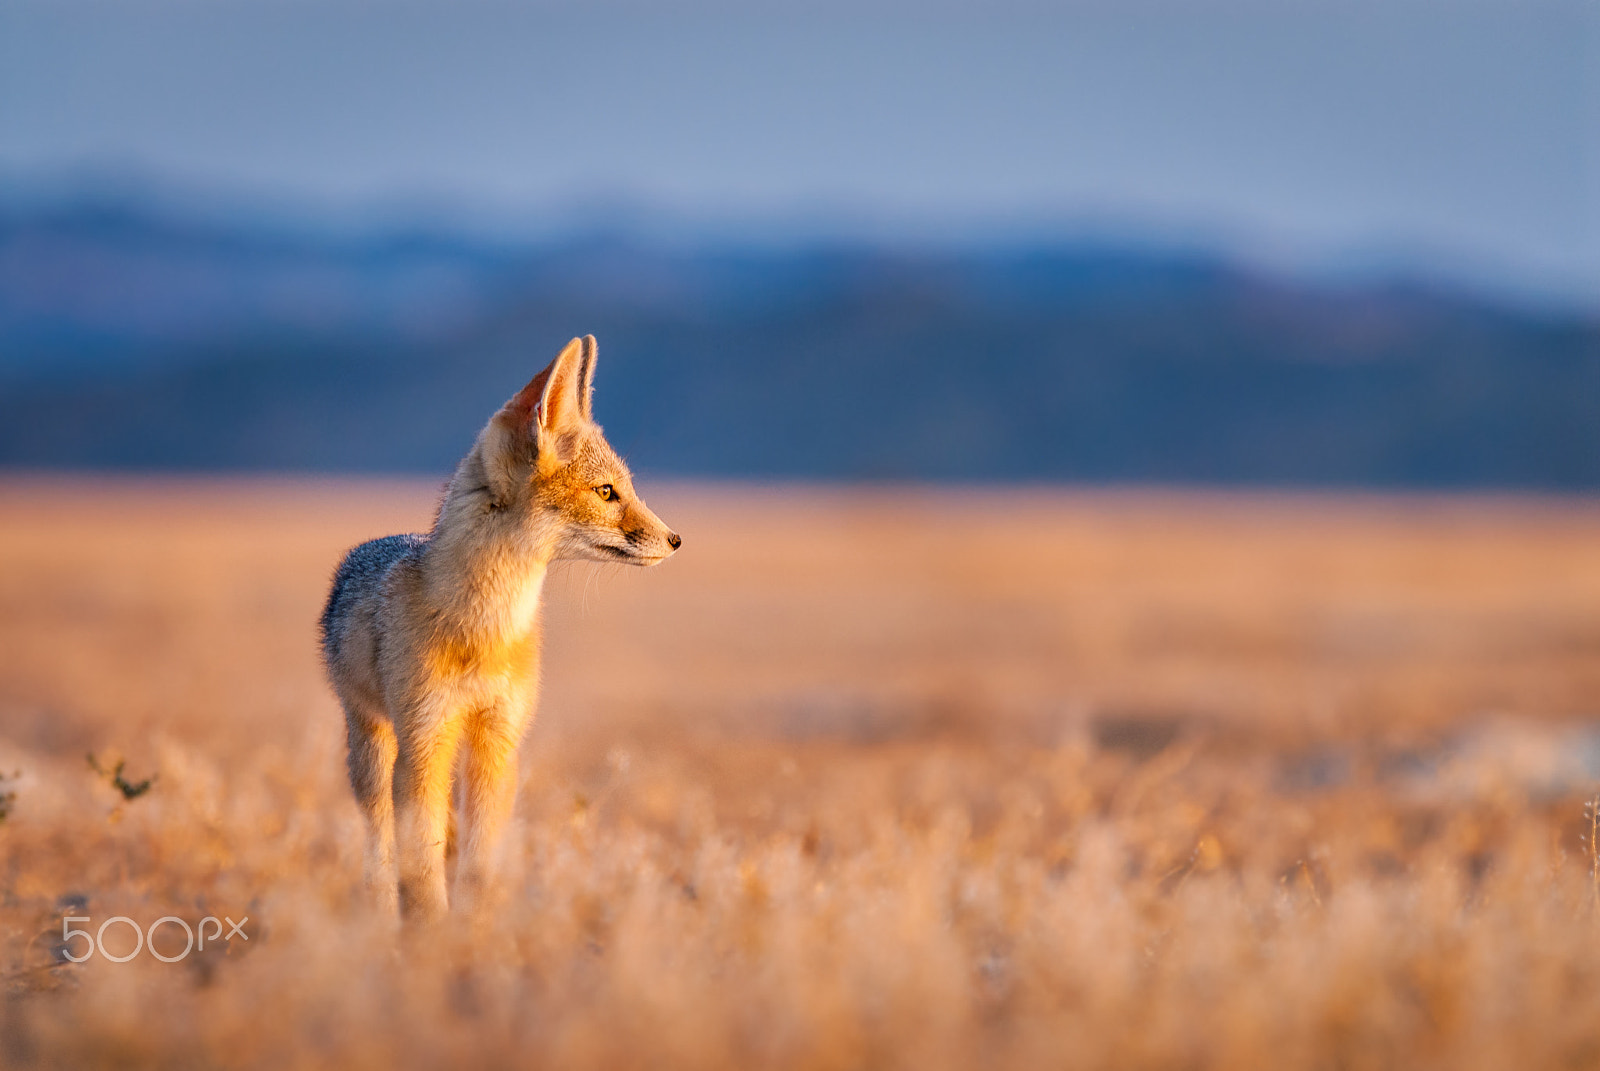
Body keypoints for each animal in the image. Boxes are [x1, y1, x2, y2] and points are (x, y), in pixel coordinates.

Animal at [319, 335, 680, 922]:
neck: (482, 629)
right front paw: (431, 935)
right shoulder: (426, 737)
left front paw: (474, 930)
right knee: (380, 844)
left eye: (626, 489)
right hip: (374, 746)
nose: (675, 539)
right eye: (606, 493)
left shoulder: (499, 740)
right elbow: (422, 871)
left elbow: (478, 867)